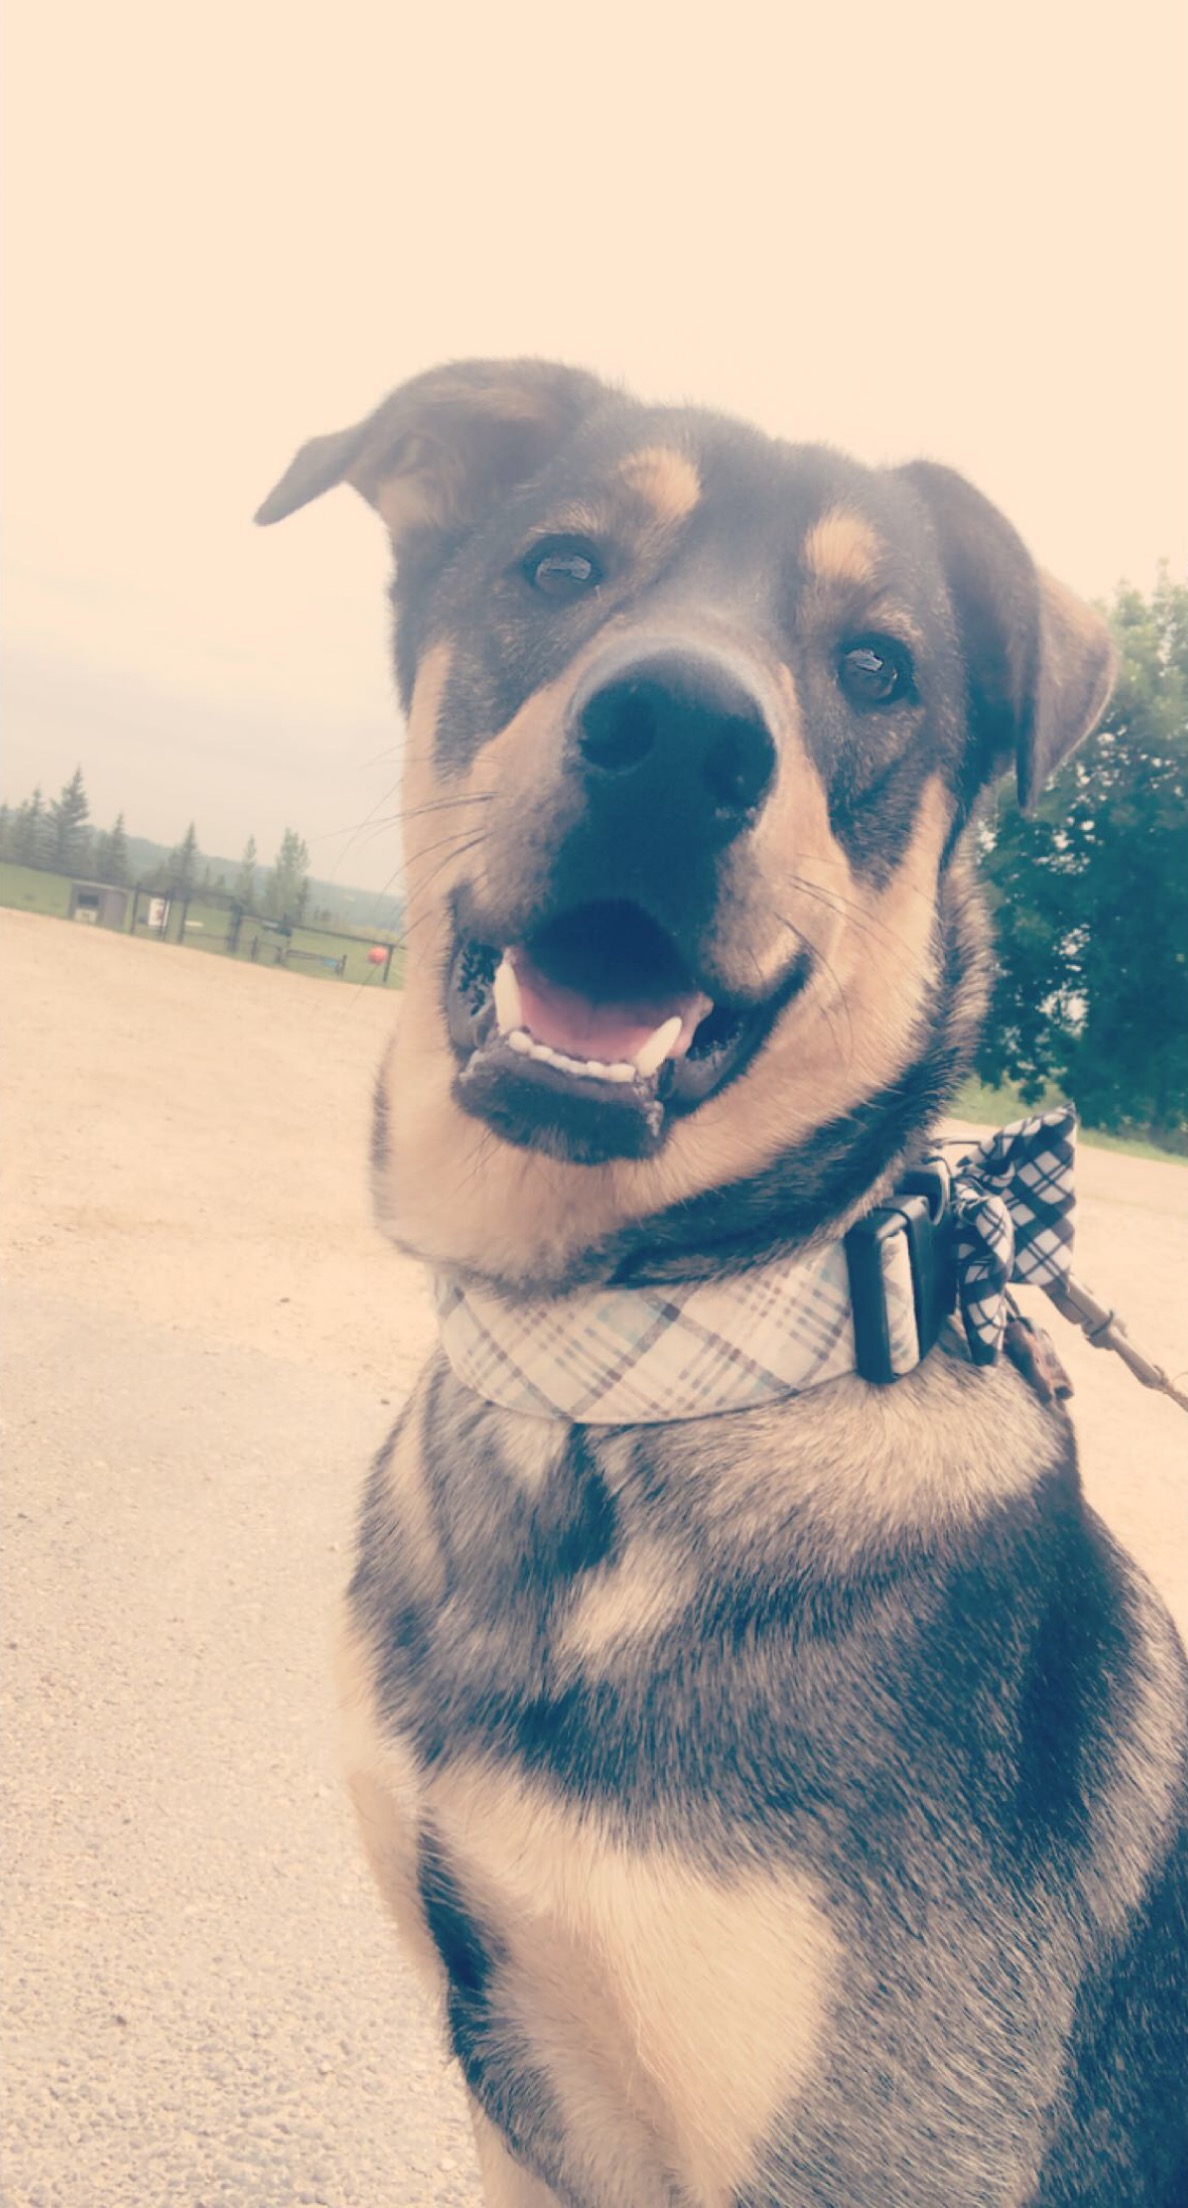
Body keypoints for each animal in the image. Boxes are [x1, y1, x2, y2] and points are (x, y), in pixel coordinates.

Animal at [257, 362, 1187, 2207]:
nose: (682, 737)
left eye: (878, 668)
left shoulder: (860, 2157)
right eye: (558, 566)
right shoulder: (515, 2113)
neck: (613, 1380)